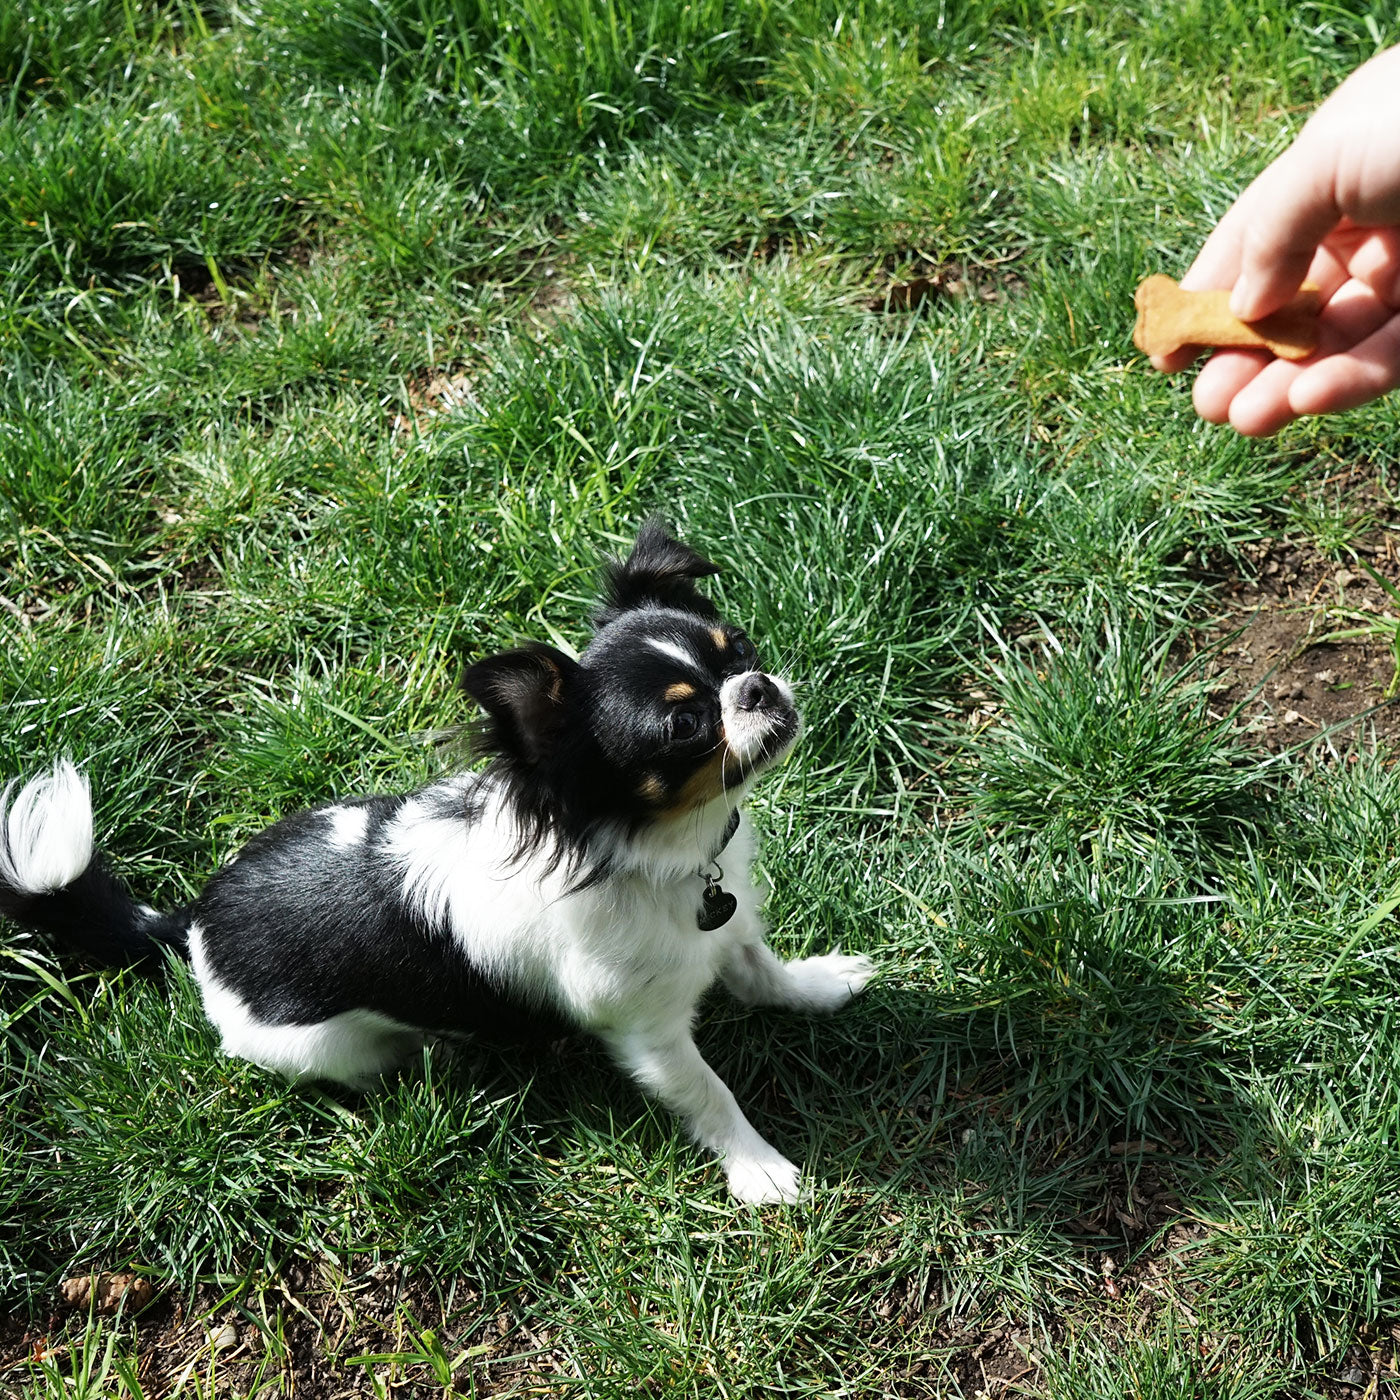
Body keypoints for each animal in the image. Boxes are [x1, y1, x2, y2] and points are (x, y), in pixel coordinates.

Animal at [2, 523, 873, 1204]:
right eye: (685, 726)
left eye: (740, 650)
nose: (756, 687)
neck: (664, 853)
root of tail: (195, 922)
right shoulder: (647, 1032)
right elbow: (707, 1091)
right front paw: (758, 1169)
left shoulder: (729, 926)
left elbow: (762, 969)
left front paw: (822, 985)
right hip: (320, 1049)